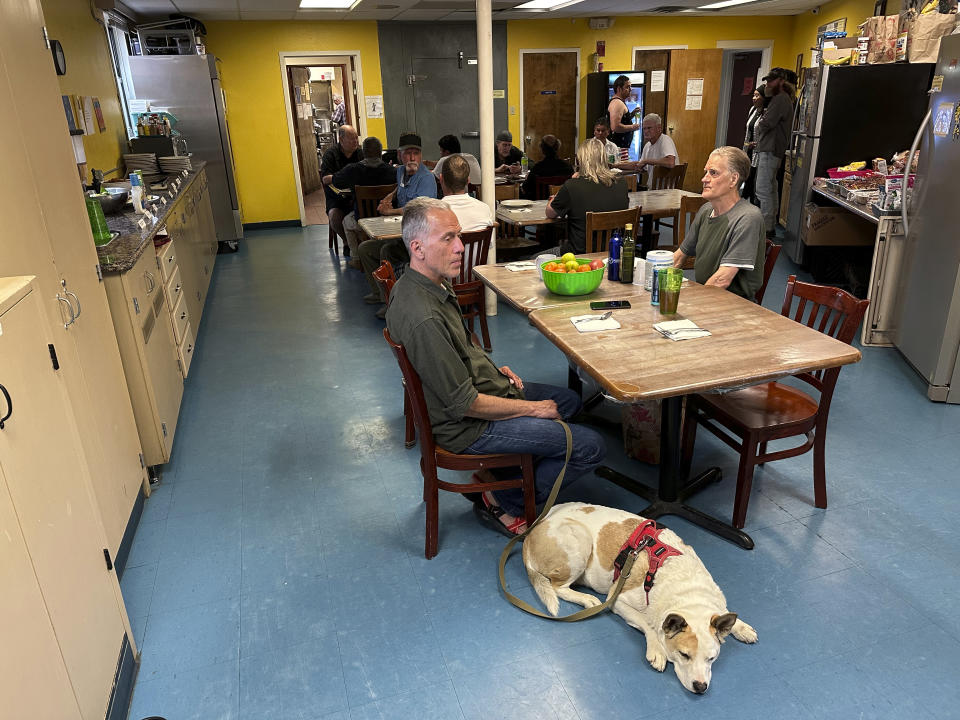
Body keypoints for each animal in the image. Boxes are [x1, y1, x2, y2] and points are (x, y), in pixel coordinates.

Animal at [524, 500, 756, 692]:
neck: (687, 589)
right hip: (580, 540)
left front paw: (742, 627)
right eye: (684, 655)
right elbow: (647, 623)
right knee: (558, 587)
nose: (700, 687)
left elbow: (723, 612)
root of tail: (530, 532)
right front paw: (657, 650)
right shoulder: (617, 599)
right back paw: (586, 599)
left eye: (711, 658)